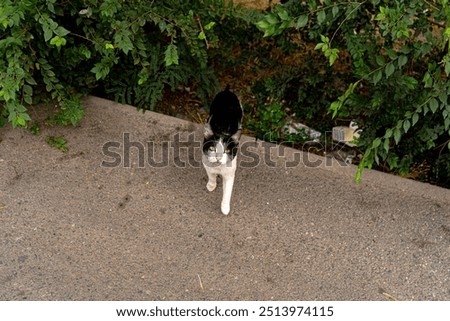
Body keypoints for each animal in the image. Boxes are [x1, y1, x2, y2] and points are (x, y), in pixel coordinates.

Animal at [202, 85, 243, 215]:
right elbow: (211, 175)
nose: (218, 157)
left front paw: (225, 207)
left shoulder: (230, 174)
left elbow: (228, 191)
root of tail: (227, 91)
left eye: (227, 151)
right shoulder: (206, 163)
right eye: (212, 148)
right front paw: (211, 185)